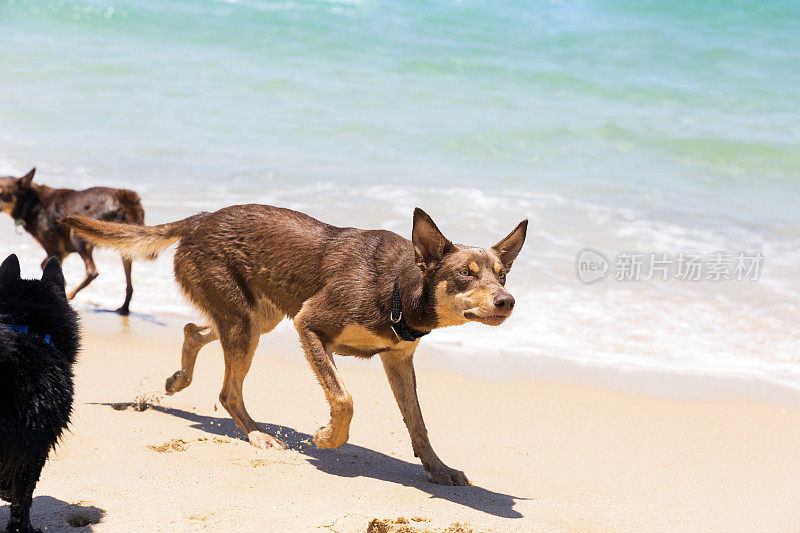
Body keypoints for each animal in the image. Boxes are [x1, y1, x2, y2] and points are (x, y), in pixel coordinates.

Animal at [0, 168, 144, 314]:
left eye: (2, 193)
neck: (32, 203)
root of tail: (124, 199)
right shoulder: (61, 252)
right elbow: (44, 265)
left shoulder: (56, 250)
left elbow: (47, 266)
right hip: (124, 244)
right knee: (129, 284)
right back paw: (124, 308)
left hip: (78, 233)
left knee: (92, 272)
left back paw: (71, 295)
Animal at [65, 205, 528, 486]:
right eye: (466, 274)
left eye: (502, 275)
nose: (507, 301)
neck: (399, 288)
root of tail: (201, 219)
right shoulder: (310, 325)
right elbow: (344, 399)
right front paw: (326, 439)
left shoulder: (397, 361)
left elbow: (418, 422)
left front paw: (438, 467)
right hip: (246, 322)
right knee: (228, 391)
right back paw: (257, 435)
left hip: (258, 317)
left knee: (194, 330)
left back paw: (178, 379)